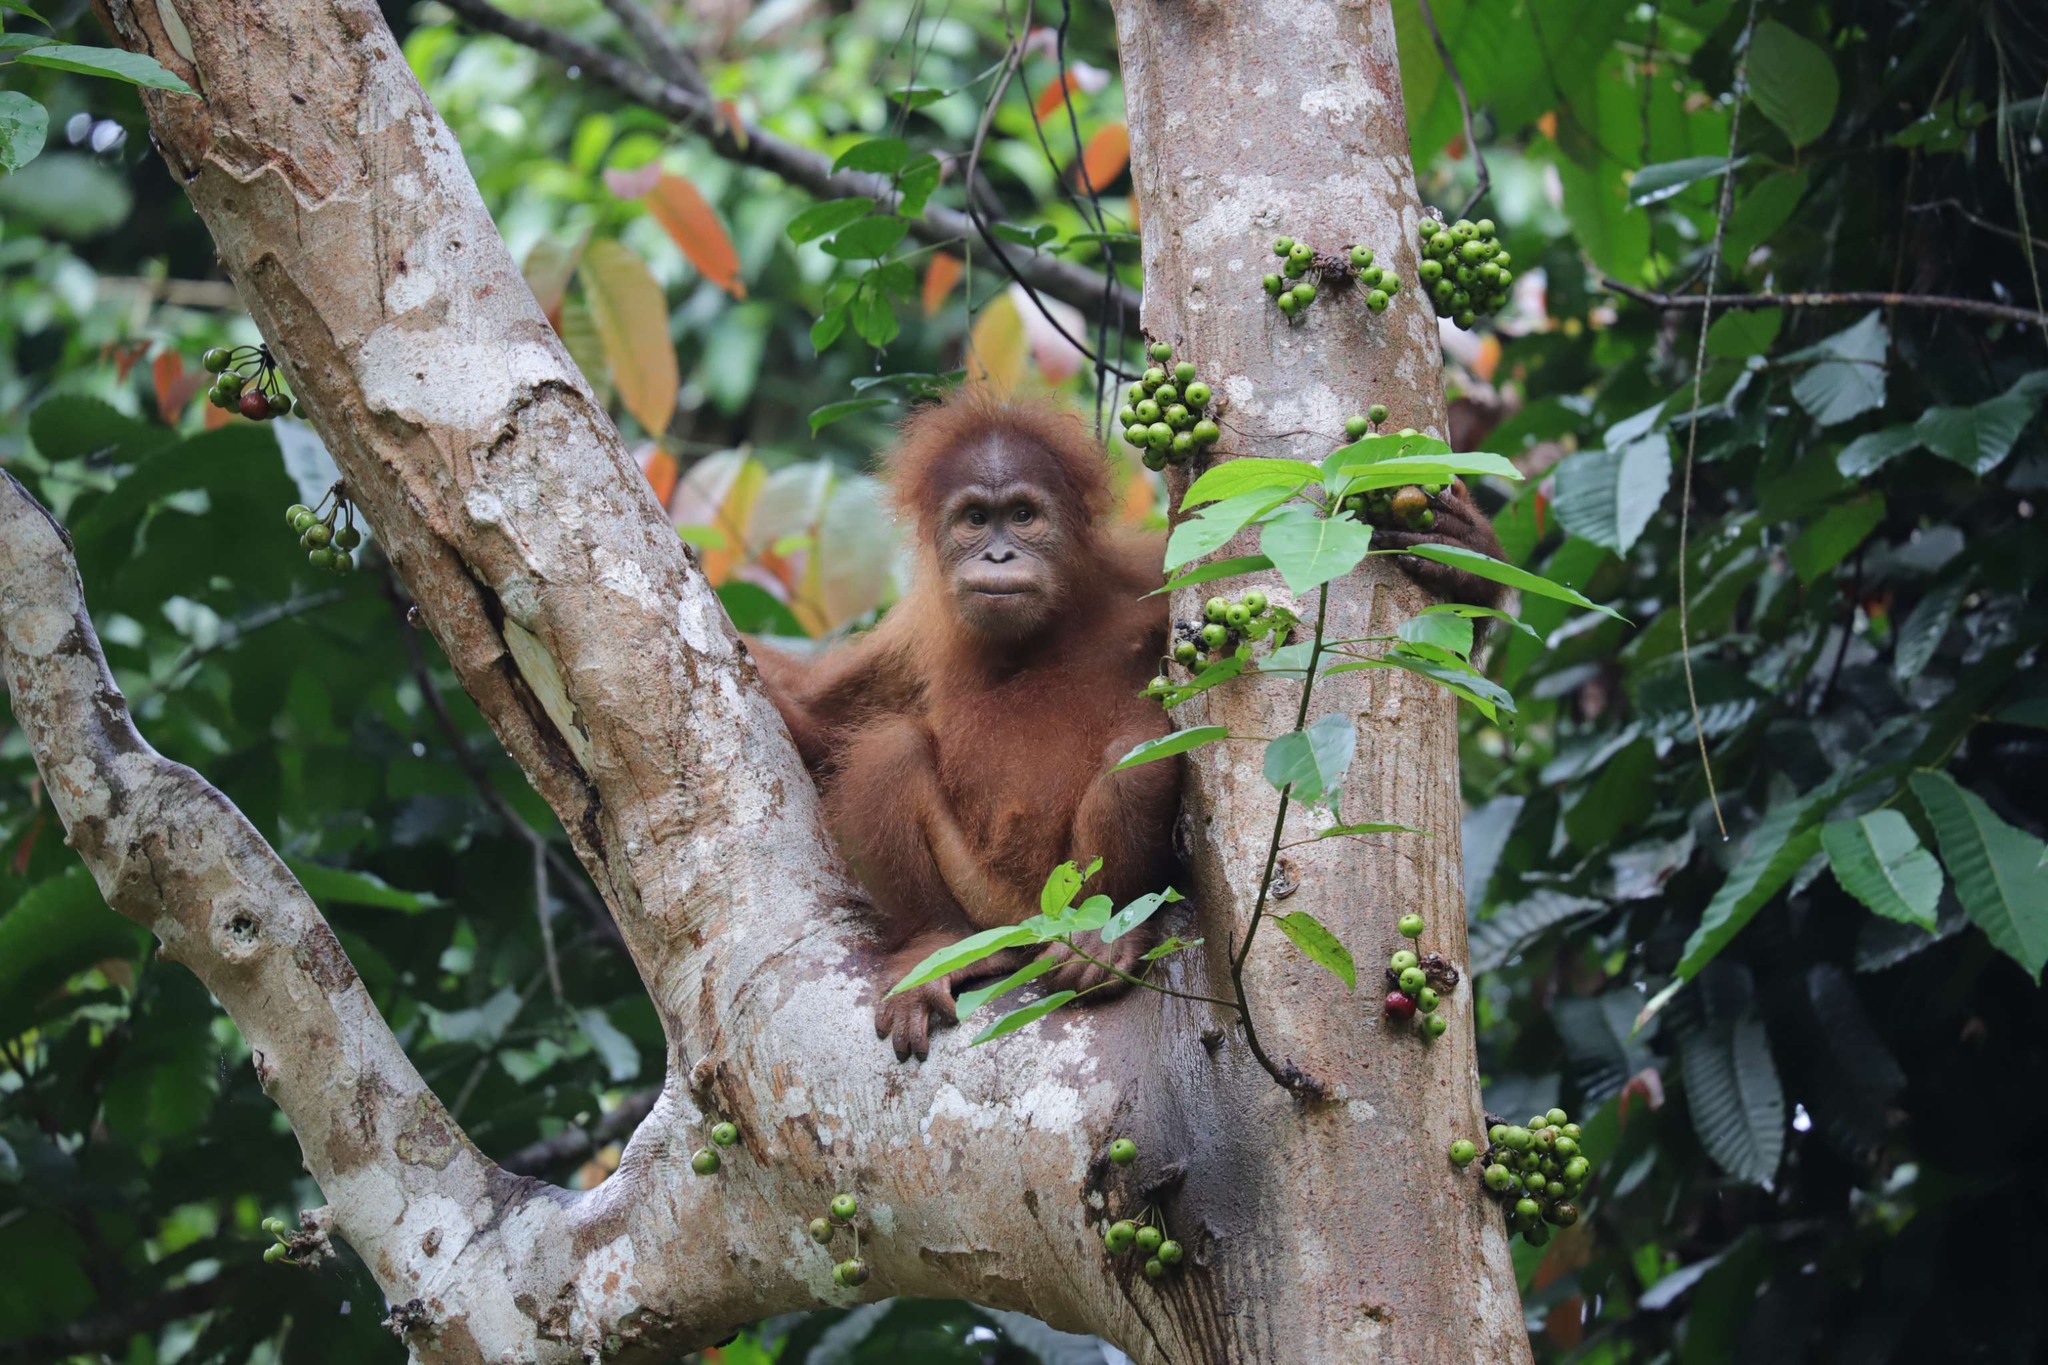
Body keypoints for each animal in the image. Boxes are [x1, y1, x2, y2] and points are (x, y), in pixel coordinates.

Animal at [752, 387, 1506, 1060]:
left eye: (1021, 514)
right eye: (972, 519)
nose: (997, 555)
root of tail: (1035, 921)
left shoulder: (1151, 575)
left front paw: (1460, 551)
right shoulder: (908, 633)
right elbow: (820, 724)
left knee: (1136, 753)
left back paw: (1106, 939)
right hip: (987, 907)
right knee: (889, 745)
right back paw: (935, 944)